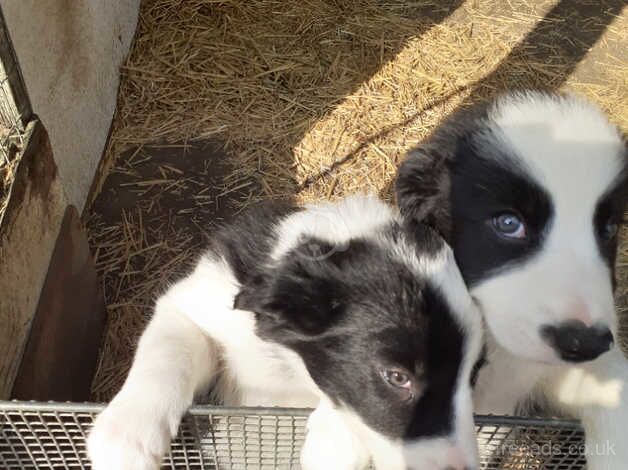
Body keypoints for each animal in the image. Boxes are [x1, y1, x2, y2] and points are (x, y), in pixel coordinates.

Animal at [86, 194, 484, 470]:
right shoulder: (193, 305)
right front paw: (125, 439)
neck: (287, 373)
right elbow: (166, 354)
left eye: (471, 377)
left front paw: (330, 445)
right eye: (397, 377)